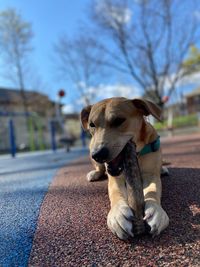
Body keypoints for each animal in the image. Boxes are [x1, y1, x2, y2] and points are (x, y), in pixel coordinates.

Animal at [80, 98, 170, 241]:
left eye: (119, 120)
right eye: (92, 124)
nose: (98, 154)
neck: (137, 153)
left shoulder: (151, 175)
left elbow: (153, 190)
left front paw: (156, 209)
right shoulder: (115, 179)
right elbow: (115, 192)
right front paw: (118, 213)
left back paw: (163, 169)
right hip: (91, 148)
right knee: (100, 168)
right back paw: (95, 173)